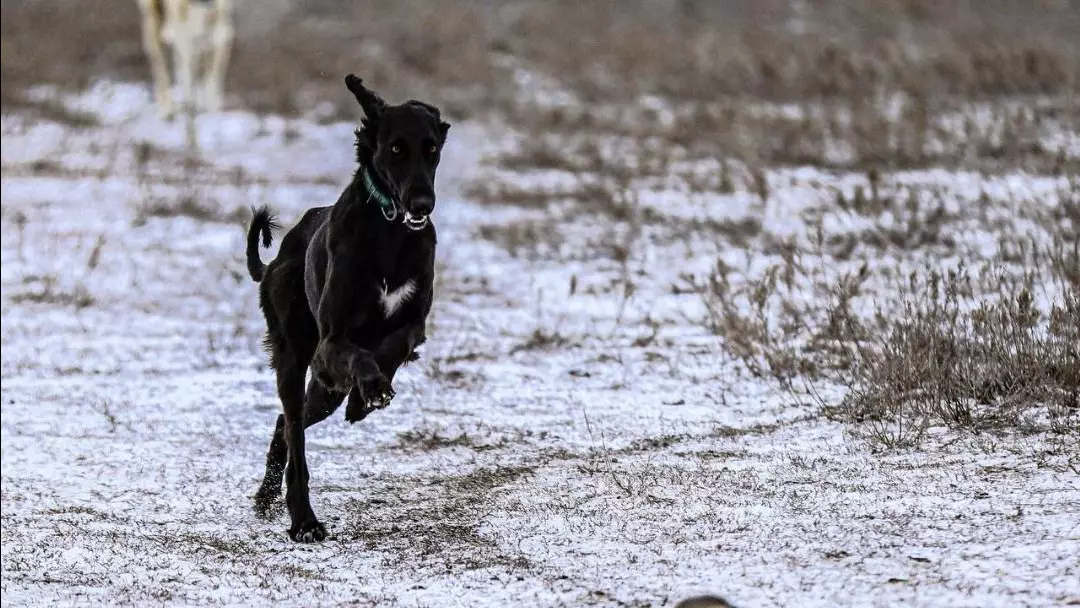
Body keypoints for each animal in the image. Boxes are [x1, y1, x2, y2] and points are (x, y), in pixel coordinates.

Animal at [245, 75, 447, 542]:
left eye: (432, 149)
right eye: (395, 148)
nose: (422, 205)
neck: (391, 232)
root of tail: (277, 257)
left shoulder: (415, 322)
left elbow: (396, 342)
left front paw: (366, 397)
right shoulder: (330, 343)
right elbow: (357, 353)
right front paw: (371, 388)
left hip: (322, 394)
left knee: (285, 424)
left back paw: (269, 495)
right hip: (293, 355)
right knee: (294, 432)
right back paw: (303, 520)